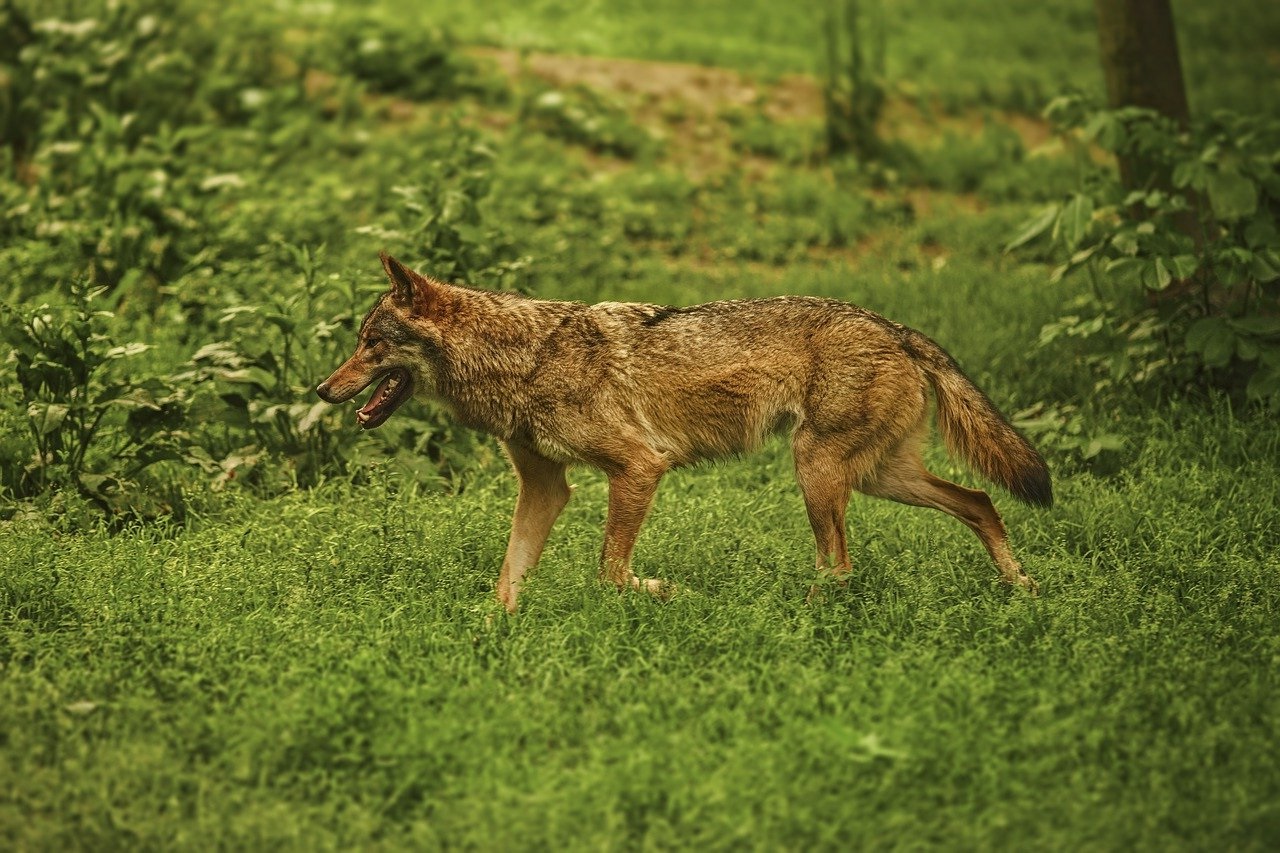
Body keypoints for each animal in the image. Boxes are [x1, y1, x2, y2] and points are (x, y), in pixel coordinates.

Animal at [317, 252, 1049, 612]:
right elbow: (508, 580)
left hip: (818, 472)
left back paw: (795, 614)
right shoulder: (547, 488)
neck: (526, 359)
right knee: (980, 503)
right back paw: (1023, 591)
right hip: (875, 477)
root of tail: (894, 326)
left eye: (370, 344)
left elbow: (610, 573)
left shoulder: (640, 466)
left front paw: (667, 593)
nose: (322, 390)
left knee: (840, 567)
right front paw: (493, 637)